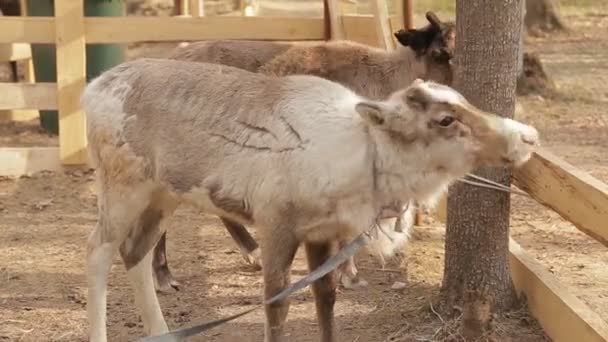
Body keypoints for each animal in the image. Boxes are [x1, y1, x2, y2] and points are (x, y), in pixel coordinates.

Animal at [83, 58, 540, 342]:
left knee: (135, 252)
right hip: (121, 187)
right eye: (444, 119)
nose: (529, 136)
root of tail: (90, 90)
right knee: (98, 253)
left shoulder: (322, 234)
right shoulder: (276, 227)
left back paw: (161, 331)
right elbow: (277, 308)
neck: (368, 160)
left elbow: (326, 300)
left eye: (462, 100)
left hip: (162, 194)